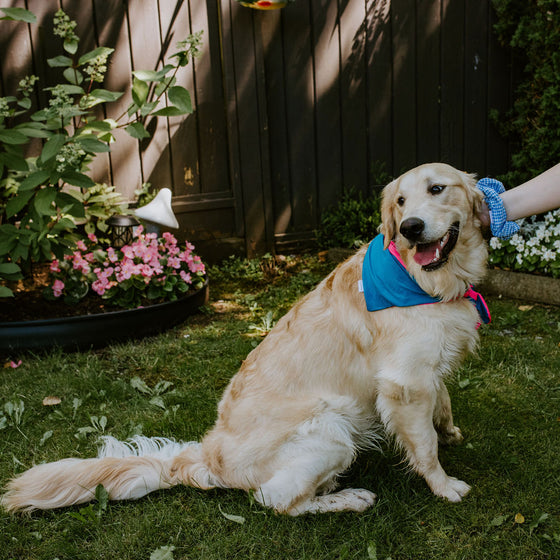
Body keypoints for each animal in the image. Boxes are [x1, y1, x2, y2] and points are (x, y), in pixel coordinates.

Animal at [3, 163, 486, 516]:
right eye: (401, 201)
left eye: (438, 189)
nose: (410, 227)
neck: (422, 280)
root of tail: (208, 458)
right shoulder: (404, 383)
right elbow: (423, 447)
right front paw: (444, 485)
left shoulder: (426, 369)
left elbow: (442, 402)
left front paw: (449, 430)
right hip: (331, 427)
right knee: (277, 501)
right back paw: (348, 498)